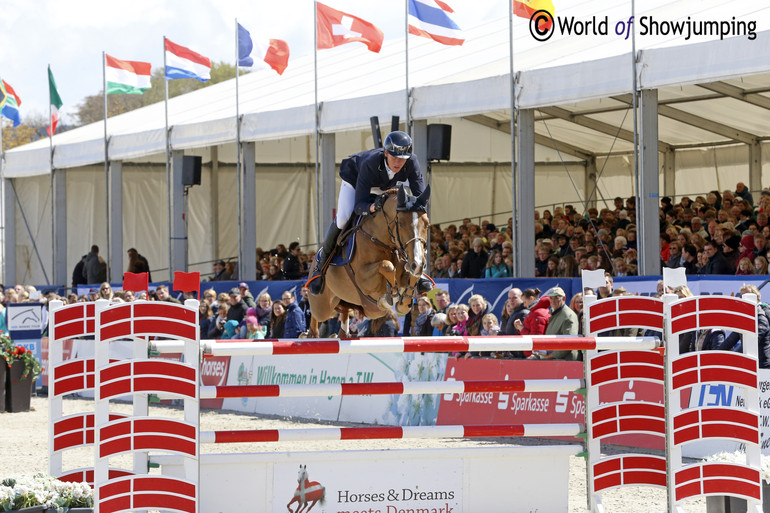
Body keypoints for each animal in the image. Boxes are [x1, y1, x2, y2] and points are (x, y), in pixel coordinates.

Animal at [308, 184, 428, 336]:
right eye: (400, 224)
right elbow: (387, 266)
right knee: (316, 316)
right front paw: (391, 296)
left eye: (427, 224)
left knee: (344, 312)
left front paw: (404, 302)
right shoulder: (363, 279)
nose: (418, 263)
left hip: (365, 309)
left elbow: (410, 275)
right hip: (322, 306)